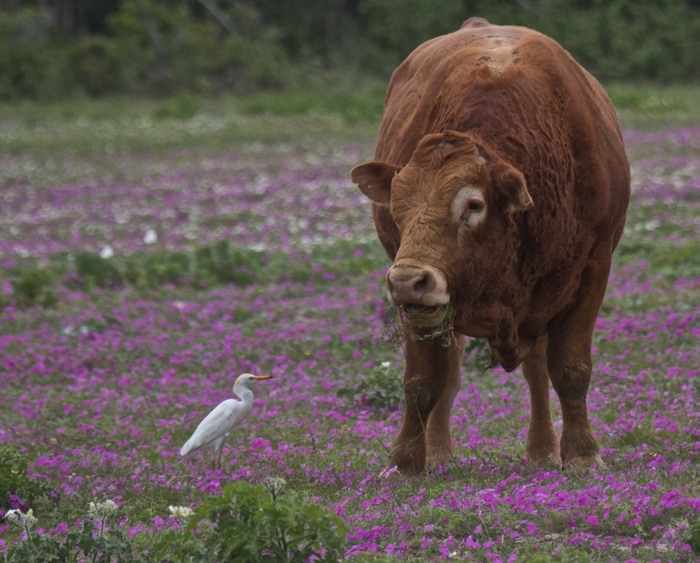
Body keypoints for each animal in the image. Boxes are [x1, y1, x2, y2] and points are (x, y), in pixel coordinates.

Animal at [350, 17, 628, 476]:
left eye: (473, 204)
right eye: (397, 204)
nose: (408, 280)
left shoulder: (593, 267)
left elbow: (570, 370)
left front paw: (583, 453)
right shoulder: (422, 307)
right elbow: (423, 380)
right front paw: (405, 460)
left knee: (536, 371)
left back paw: (542, 448)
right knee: (452, 372)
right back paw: (440, 451)